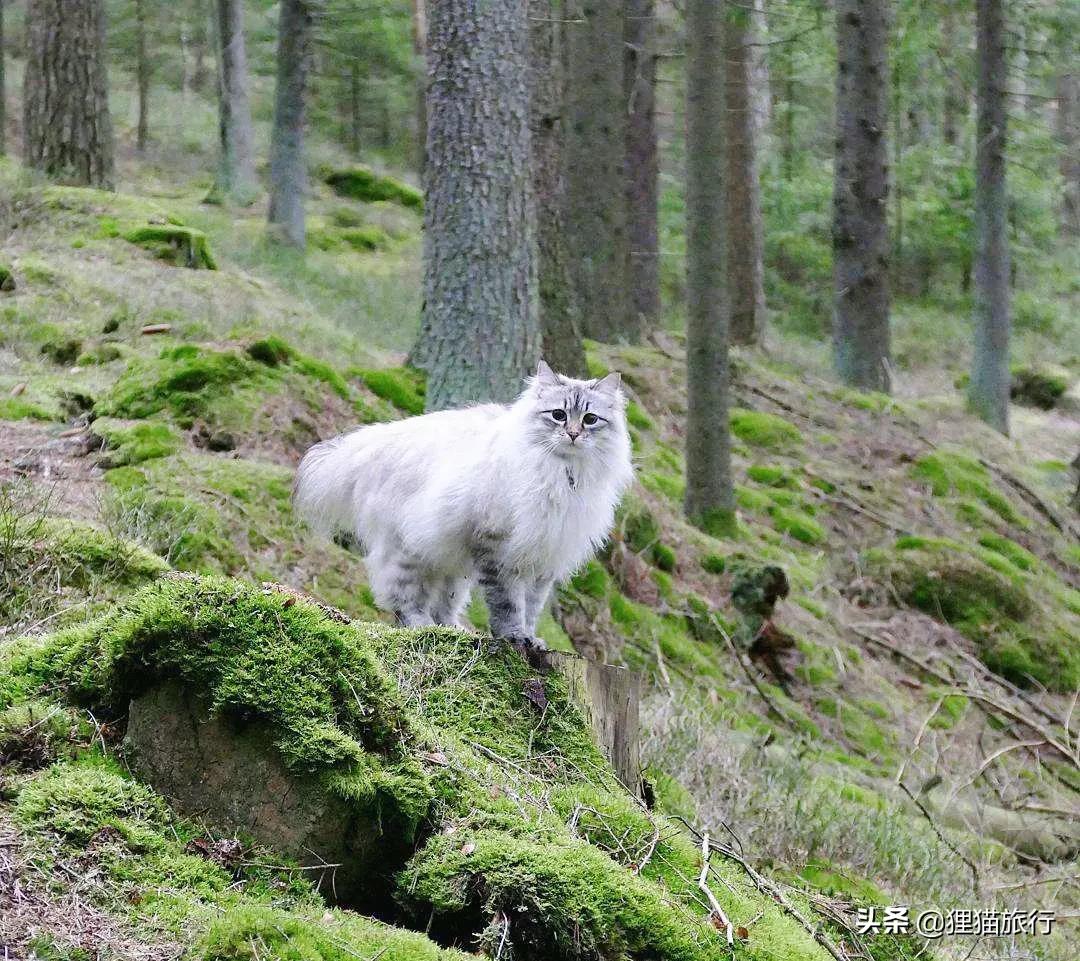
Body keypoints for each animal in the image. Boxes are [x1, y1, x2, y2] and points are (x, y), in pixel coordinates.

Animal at [291, 358, 635, 652]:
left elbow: (531, 607)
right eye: (558, 415)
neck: (564, 475)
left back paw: (454, 630)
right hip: (411, 551)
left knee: (443, 605)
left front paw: (532, 639)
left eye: (590, 419)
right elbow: (508, 604)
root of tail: (381, 439)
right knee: (402, 599)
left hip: (453, 566)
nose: (573, 434)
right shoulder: (500, 548)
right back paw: (425, 627)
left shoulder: (544, 558)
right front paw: (514, 636)